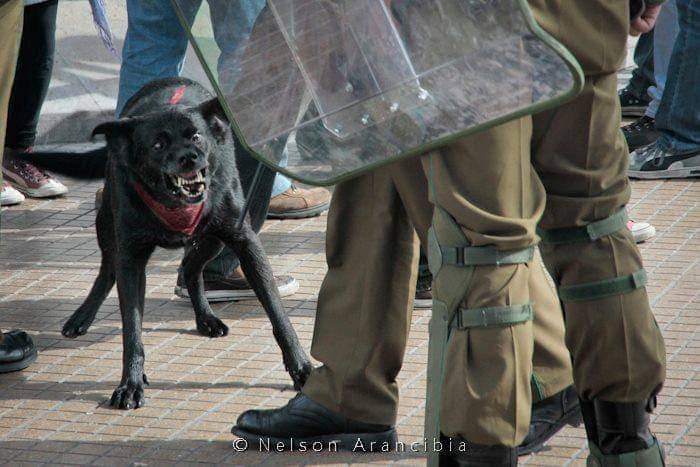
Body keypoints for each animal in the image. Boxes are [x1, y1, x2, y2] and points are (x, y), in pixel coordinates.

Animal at [25, 77, 312, 410]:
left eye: (196, 136)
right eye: (158, 144)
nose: (189, 157)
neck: (174, 204)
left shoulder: (245, 242)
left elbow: (278, 314)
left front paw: (302, 368)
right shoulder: (132, 258)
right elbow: (132, 329)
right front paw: (131, 383)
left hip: (213, 238)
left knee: (190, 268)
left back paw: (205, 318)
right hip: (106, 223)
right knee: (109, 268)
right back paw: (82, 316)